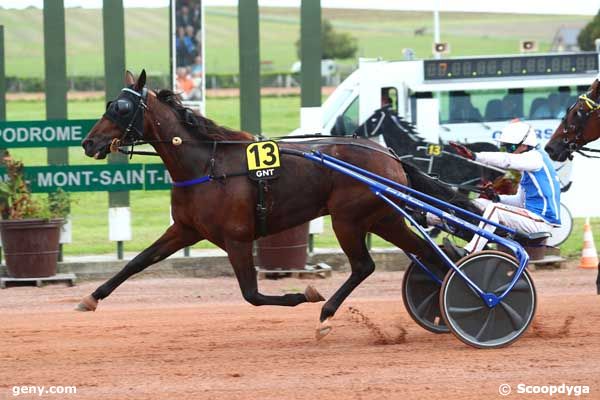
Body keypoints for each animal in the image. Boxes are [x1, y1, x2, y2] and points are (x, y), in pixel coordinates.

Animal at [78, 70, 478, 340]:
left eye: (122, 107)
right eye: (109, 104)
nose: (88, 142)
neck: (208, 165)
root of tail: (389, 155)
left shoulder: (237, 239)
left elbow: (252, 295)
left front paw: (304, 294)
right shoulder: (185, 229)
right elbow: (138, 261)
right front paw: (91, 298)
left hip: (349, 219)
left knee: (366, 265)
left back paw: (329, 314)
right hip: (382, 218)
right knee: (429, 254)